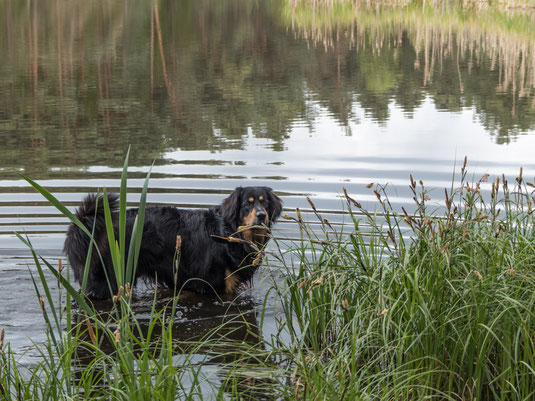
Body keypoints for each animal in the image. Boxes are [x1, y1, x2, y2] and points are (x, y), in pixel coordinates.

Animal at [64, 187, 282, 296]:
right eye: (247, 205)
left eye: (265, 203)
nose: (261, 216)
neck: (229, 233)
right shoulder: (212, 284)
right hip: (108, 279)